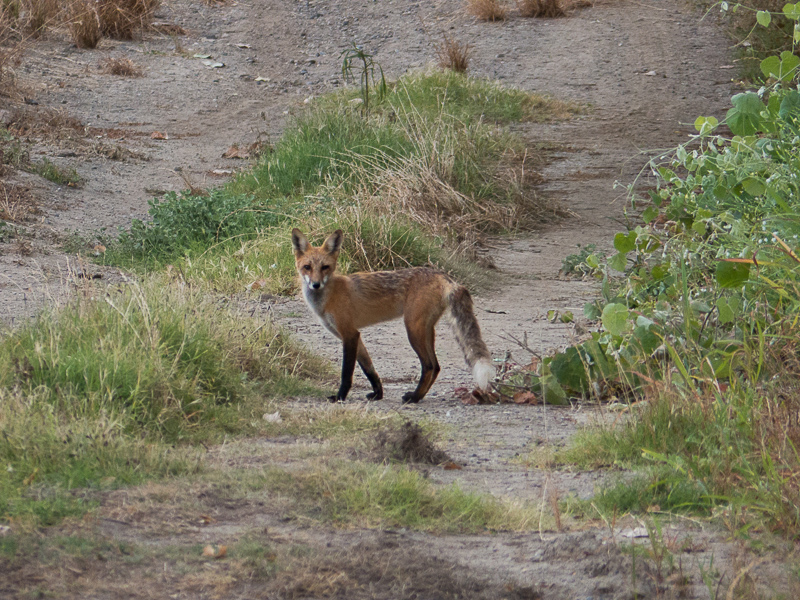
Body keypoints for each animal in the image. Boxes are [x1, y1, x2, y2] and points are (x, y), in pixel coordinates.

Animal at [294, 229, 494, 404]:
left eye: (325, 267)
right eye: (307, 267)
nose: (316, 284)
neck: (328, 297)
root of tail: (443, 276)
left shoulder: (349, 334)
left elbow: (346, 373)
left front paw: (340, 397)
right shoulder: (354, 336)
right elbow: (369, 368)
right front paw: (378, 393)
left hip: (413, 329)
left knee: (429, 365)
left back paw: (414, 398)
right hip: (426, 329)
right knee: (436, 366)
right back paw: (418, 396)